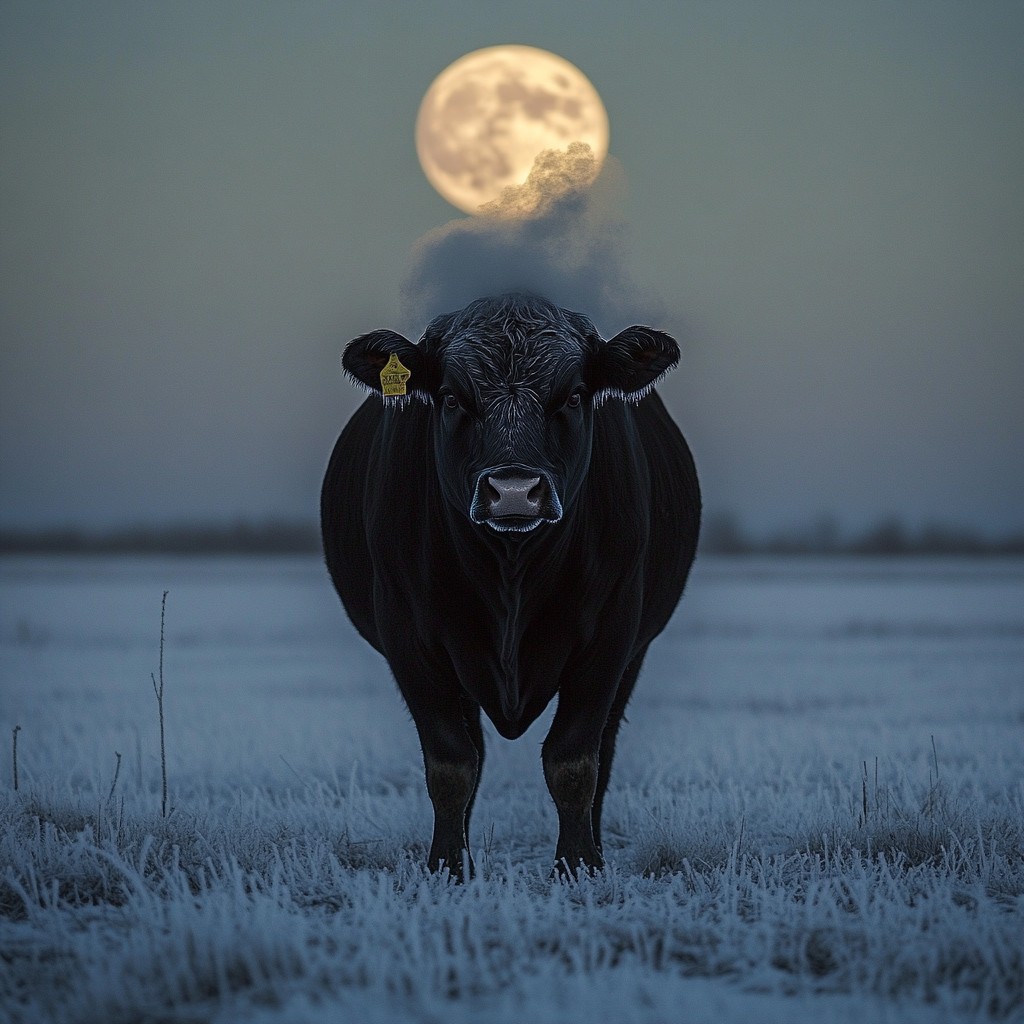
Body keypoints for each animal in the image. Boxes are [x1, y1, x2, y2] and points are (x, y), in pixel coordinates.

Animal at [321, 293, 700, 878]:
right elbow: (451, 765)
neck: (511, 572)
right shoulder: (409, 639)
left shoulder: (611, 638)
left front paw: (578, 866)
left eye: (573, 395)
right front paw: (449, 867)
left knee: (605, 752)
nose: (515, 491)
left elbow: (574, 763)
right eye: (452, 398)